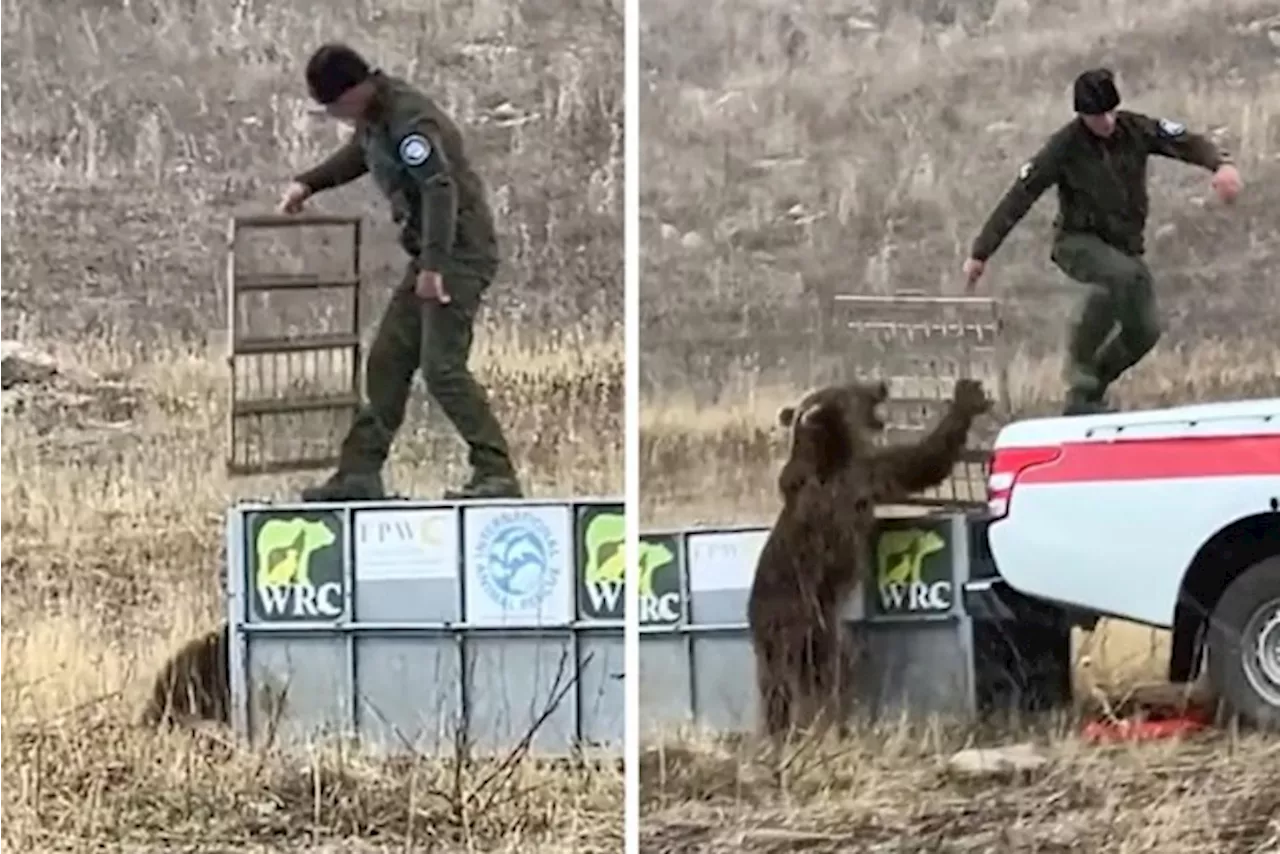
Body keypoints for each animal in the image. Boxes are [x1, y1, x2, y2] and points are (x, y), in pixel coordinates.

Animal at [747, 376, 993, 742]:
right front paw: (966, 398)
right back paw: (824, 723)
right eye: (851, 389)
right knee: (816, 676)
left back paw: (778, 731)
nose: (881, 384)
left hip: (775, 642)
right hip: (806, 623)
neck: (830, 452)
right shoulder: (860, 477)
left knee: (775, 689)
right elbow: (921, 462)